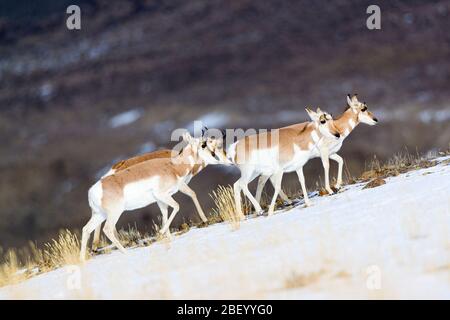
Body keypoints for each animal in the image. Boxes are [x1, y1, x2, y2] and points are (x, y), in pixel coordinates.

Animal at [80, 132, 227, 260]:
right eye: (203, 144)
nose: (219, 157)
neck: (173, 166)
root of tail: (94, 189)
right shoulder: (165, 195)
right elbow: (178, 205)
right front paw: (161, 233)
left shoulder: (161, 200)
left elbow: (166, 213)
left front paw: (168, 238)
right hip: (114, 214)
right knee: (107, 229)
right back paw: (125, 252)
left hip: (99, 215)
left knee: (86, 229)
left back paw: (83, 259)